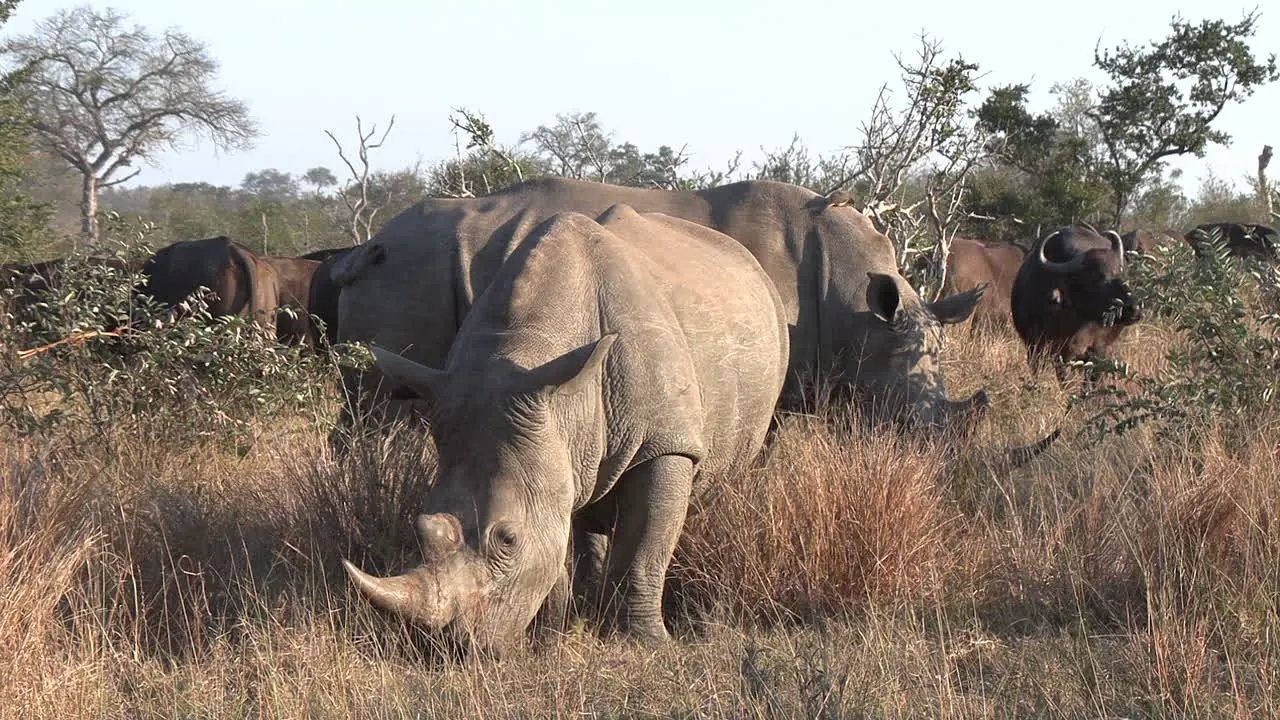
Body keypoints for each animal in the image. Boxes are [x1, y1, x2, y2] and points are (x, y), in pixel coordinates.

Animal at [340, 203, 788, 650]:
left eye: (508, 538)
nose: (453, 647)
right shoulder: (549, 428)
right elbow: (555, 542)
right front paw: (549, 638)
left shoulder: (664, 441)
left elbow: (645, 548)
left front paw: (647, 643)